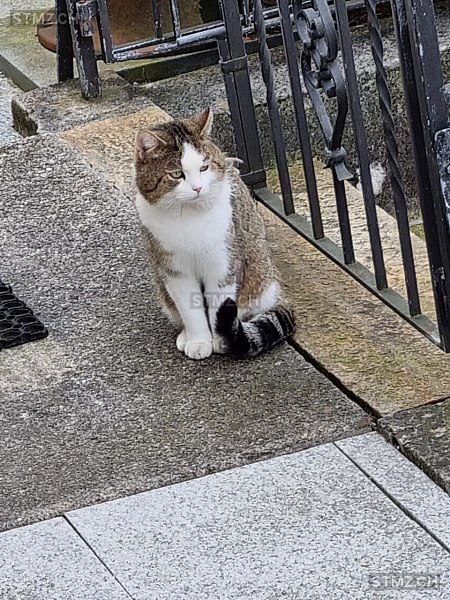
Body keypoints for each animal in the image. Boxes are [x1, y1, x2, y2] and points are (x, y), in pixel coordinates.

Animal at [134, 108, 296, 360]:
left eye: (204, 168)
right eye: (177, 174)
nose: (198, 188)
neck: (188, 217)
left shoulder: (223, 264)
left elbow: (218, 305)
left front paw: (222, 340)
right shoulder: (174, 271)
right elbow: (190, 310)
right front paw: (199, 341)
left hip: (259, 274)